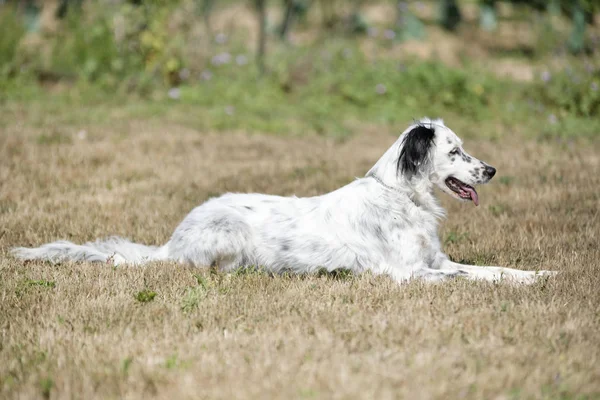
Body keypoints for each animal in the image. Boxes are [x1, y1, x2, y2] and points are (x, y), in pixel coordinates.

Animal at [10, 117, 552, 282]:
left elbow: (493, 271)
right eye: (455, 150)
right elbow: (471, 280)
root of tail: (172, 241)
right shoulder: (408, 273)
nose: (492, 170)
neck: (403, 197)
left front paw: (540, 276)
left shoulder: (437, 260)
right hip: (229, 239)